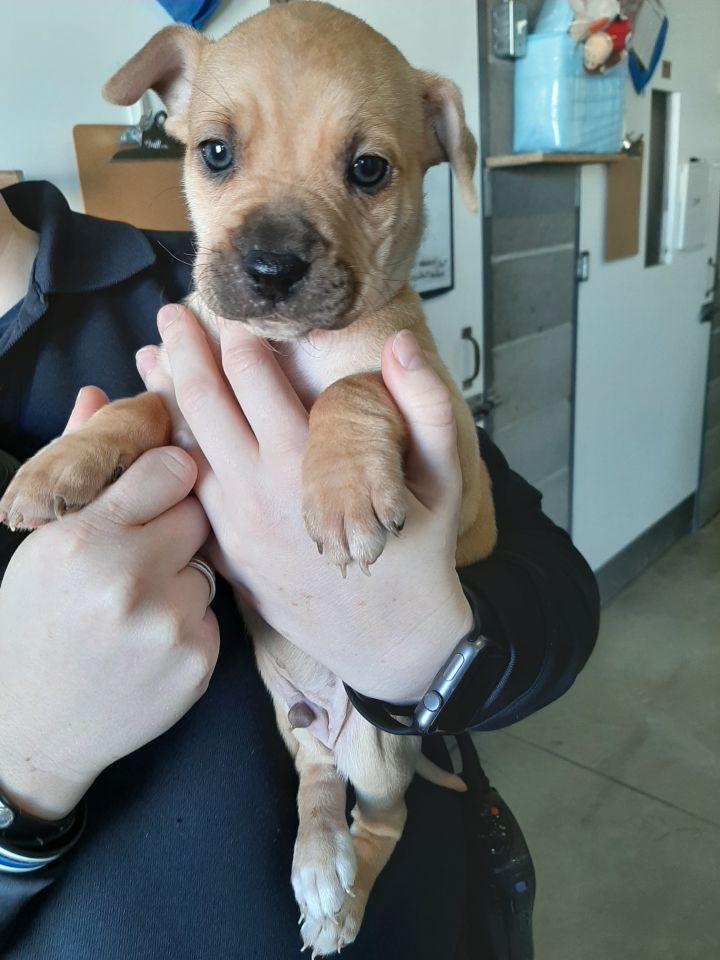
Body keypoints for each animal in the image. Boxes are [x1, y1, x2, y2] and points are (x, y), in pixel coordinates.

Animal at [0, 3, 496, 956]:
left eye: (369, 169)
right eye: (215, 153)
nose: (270, 269)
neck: (287, 349)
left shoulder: (453, 442)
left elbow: (353, 384)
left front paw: (341, 488)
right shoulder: (185, 410)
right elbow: (137, 405)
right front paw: (61, 464)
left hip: (381, 753)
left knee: (386, 819)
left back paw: (343, 899)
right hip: (295, 721)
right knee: (315, 780)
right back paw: (318, 862)